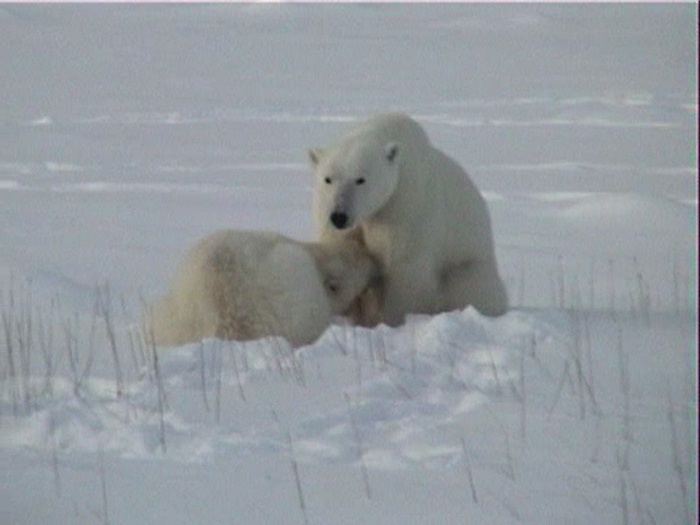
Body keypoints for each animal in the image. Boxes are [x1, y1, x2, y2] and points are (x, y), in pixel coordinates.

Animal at [312, 111, 508, 326]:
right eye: (328, 179)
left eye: (360, 179)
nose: (339, 216)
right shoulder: (334, 215)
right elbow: (344, 254)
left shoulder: (405, 207)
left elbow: (404, 270)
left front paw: (392, 320)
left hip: (470, 270)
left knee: (469, 290)